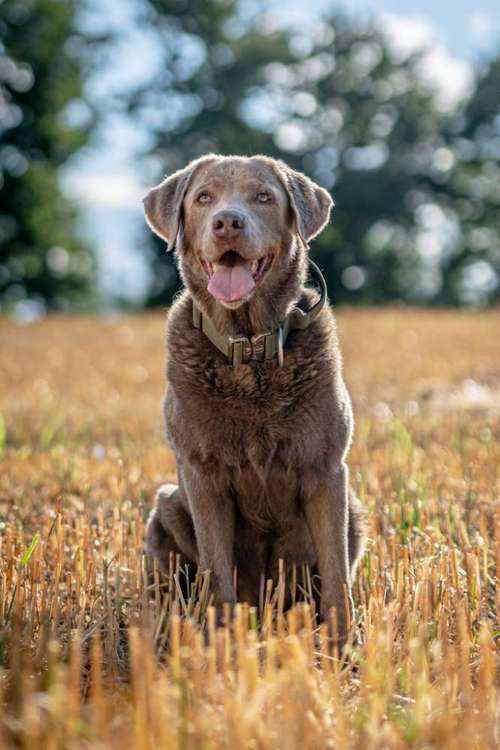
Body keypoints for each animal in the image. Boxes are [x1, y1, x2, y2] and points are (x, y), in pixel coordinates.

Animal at [143, 154, 366, 648]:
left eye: (263, 197)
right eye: (204, 197)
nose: (227, 222)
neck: (249, 348)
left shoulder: (326, 471)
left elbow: (336, 576)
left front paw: (344, 650)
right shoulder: (202, 474)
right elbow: (217, 573)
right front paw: (222, 648)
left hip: (356, 511)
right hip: (167, 503)